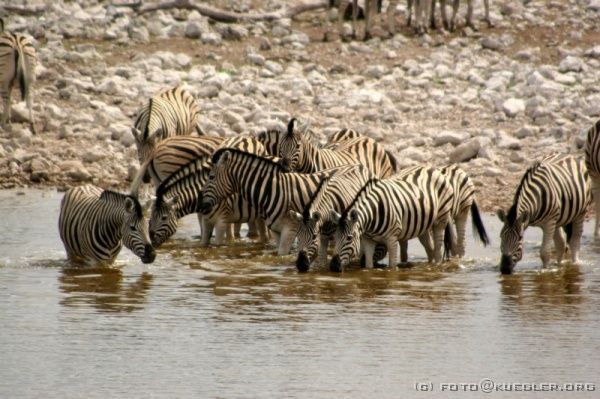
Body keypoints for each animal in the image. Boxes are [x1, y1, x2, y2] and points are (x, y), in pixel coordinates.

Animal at [199, 148, 354, 255]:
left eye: (211, 177)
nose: (202, 205)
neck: (270, 189)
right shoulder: (277, 230)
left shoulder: (290, 228)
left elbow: (282, 254)